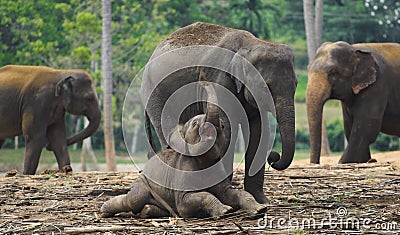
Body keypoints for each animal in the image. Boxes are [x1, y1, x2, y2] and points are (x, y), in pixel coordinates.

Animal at [101, 74, 268, 218]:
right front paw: (225, 211)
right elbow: (191, 200)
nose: (202, 77)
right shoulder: (184, 172)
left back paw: (147, 211)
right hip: (143, 182)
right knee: (134, 199)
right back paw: (104, 210)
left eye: (222, 125)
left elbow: (233, 193)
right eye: (194, 124)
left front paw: (261, 208)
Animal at [141, 21, 296, 204]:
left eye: (296, 85)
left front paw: (262, 201)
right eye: (267, 88)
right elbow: (226, 129)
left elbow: (259, 132)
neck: (251, 44)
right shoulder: (220, 79)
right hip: (156, 95)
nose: (274, 156)